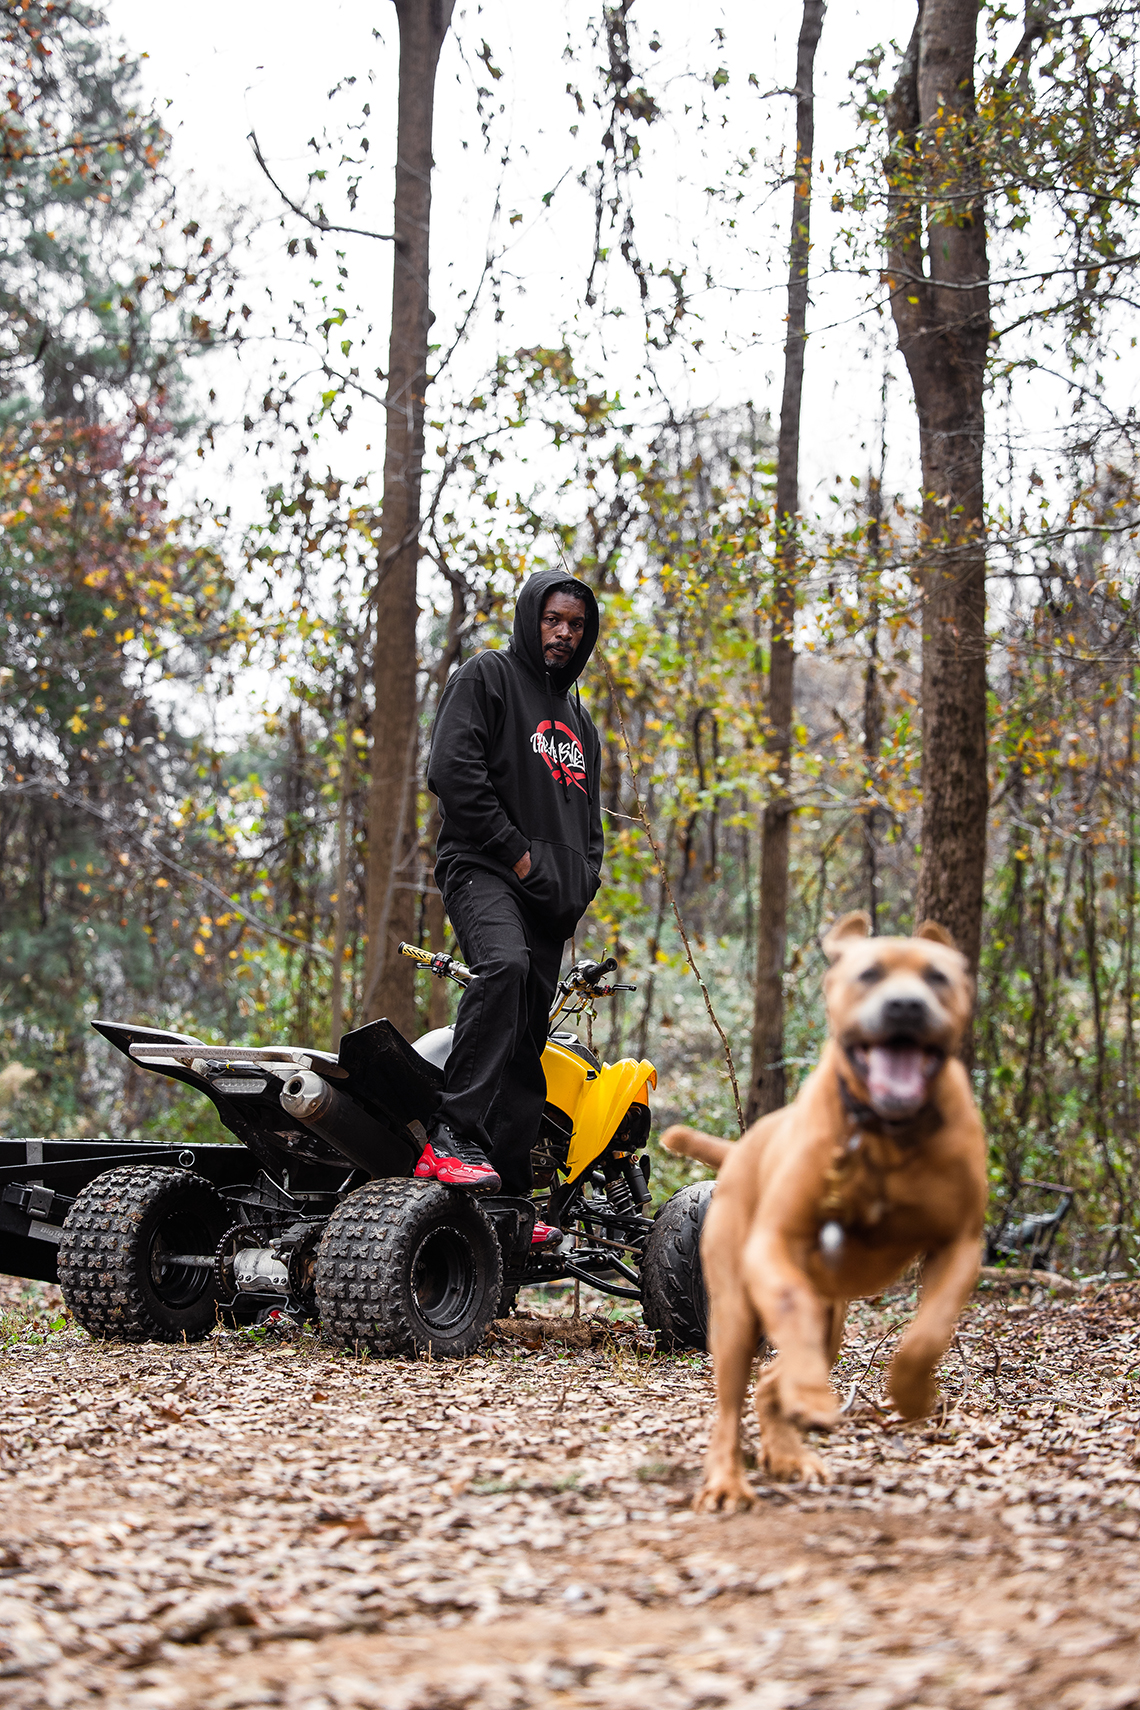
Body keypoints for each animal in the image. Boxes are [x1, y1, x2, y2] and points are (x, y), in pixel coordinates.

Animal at [663, 909, 984, 1511]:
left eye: (938, 977)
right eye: (869, 973)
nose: (905, 1006)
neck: (884, 1134)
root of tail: (739, 1152)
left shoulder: (960, 1244)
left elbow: (929, 1332)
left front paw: (912, 1394)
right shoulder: (776, 1243)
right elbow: (788, 1305)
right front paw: (811, 1395)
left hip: (830, 1317)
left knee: (773, 1378)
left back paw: (788, 1451)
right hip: (734, 1312)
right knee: (732, 1401)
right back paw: (727, 1480)